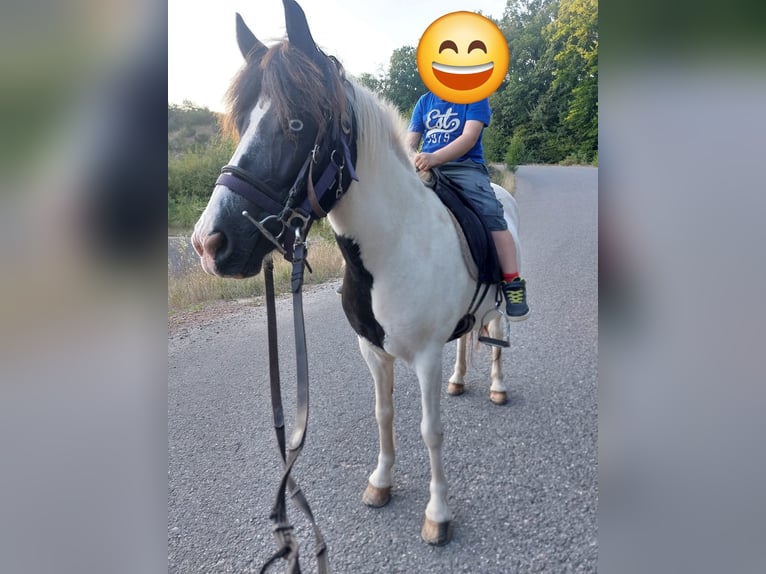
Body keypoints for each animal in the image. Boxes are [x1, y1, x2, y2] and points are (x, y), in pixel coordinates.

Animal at [191, 0, 523, 546]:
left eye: (297, 124)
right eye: (240, 122)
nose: (208, 243)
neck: (392, 249)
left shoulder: (425, 357)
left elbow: (430, 431)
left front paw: (437, 513)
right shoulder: (373, 351)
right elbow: (383, 415)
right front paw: (381, 483)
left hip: (498, 302)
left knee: (496, 332)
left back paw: (497, 387)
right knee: (467, 341)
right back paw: (461, 381)